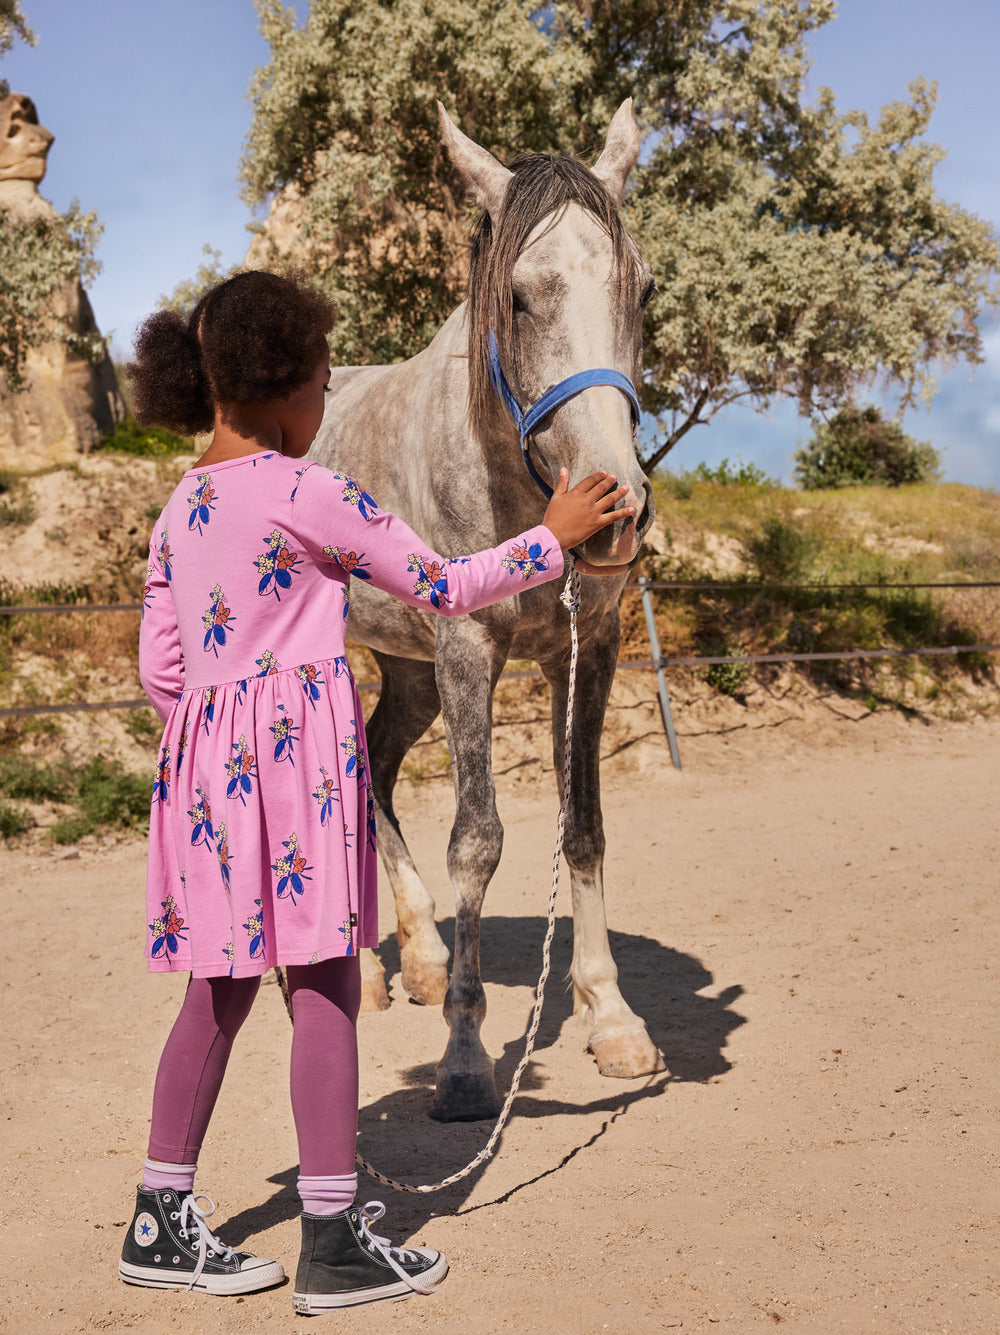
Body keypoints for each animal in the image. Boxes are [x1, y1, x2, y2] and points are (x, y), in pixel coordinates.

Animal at [309, 101, 662, 1116]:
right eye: (518, 297)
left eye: (645, 291)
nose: (614, 506)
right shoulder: (468, 648)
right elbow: (477, 841)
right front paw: (465, 1056)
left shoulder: (589, 648)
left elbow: (581, 824)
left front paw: (610, 1014)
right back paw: (379, 970)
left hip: (410, 674)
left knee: (378, 768)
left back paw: (419, 956)